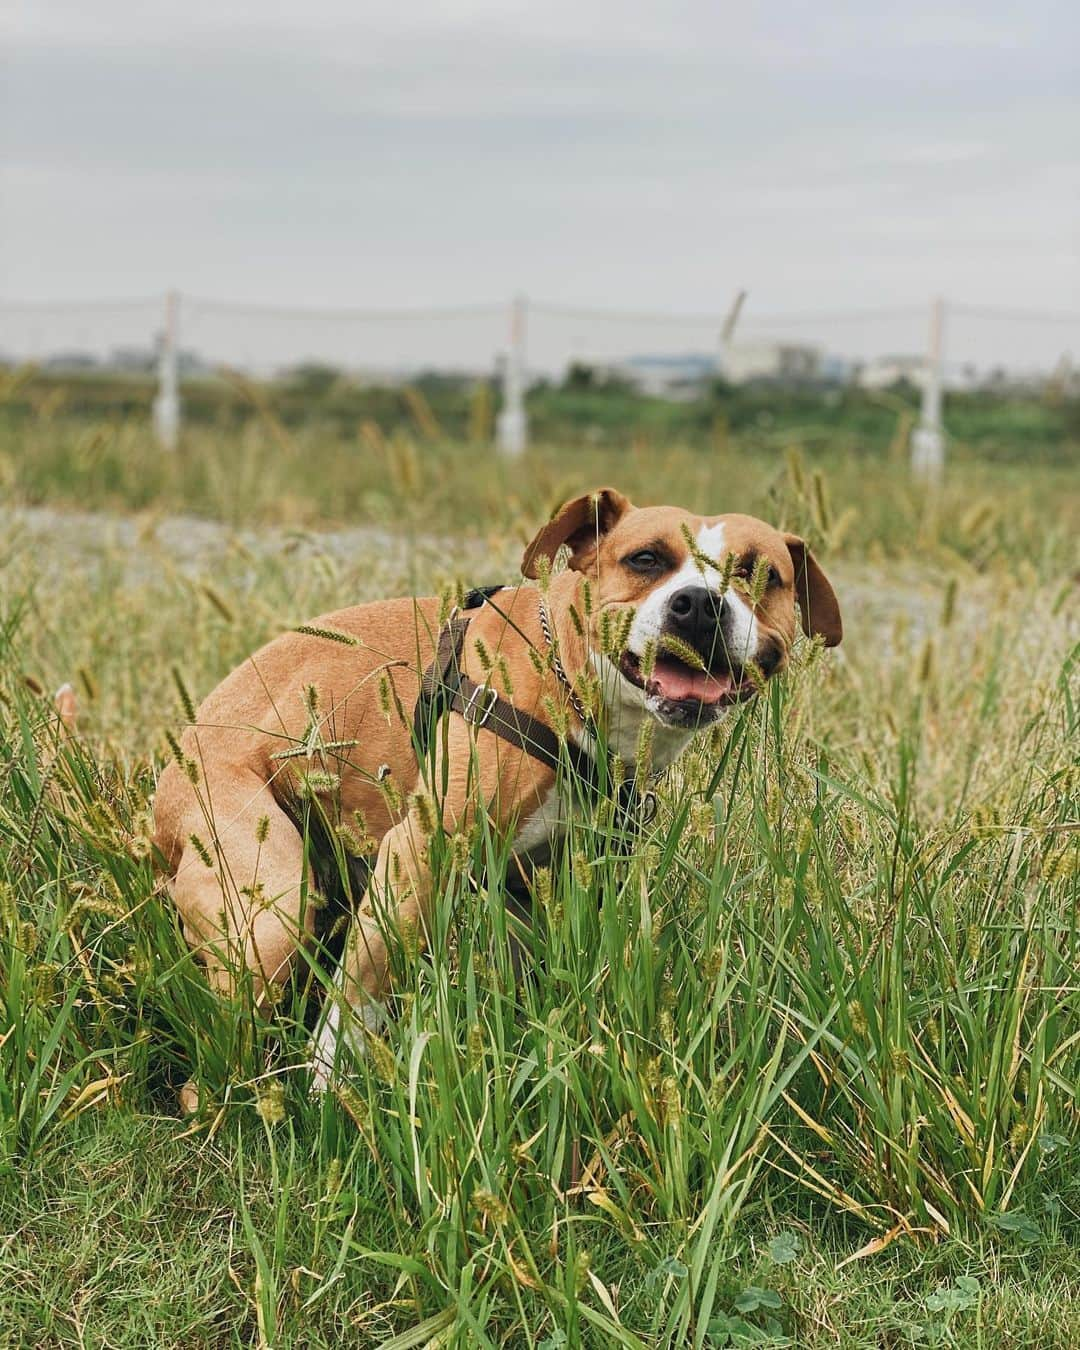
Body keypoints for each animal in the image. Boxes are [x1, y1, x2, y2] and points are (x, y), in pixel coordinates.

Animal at [151, 491, 842, 1090]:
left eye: (759, 574)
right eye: (645, 559)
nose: (698, 603)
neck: (568, 683)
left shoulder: (547, 881)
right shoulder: (418, 852)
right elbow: (361, 988)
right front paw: (330, 1090)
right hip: (269, 904)